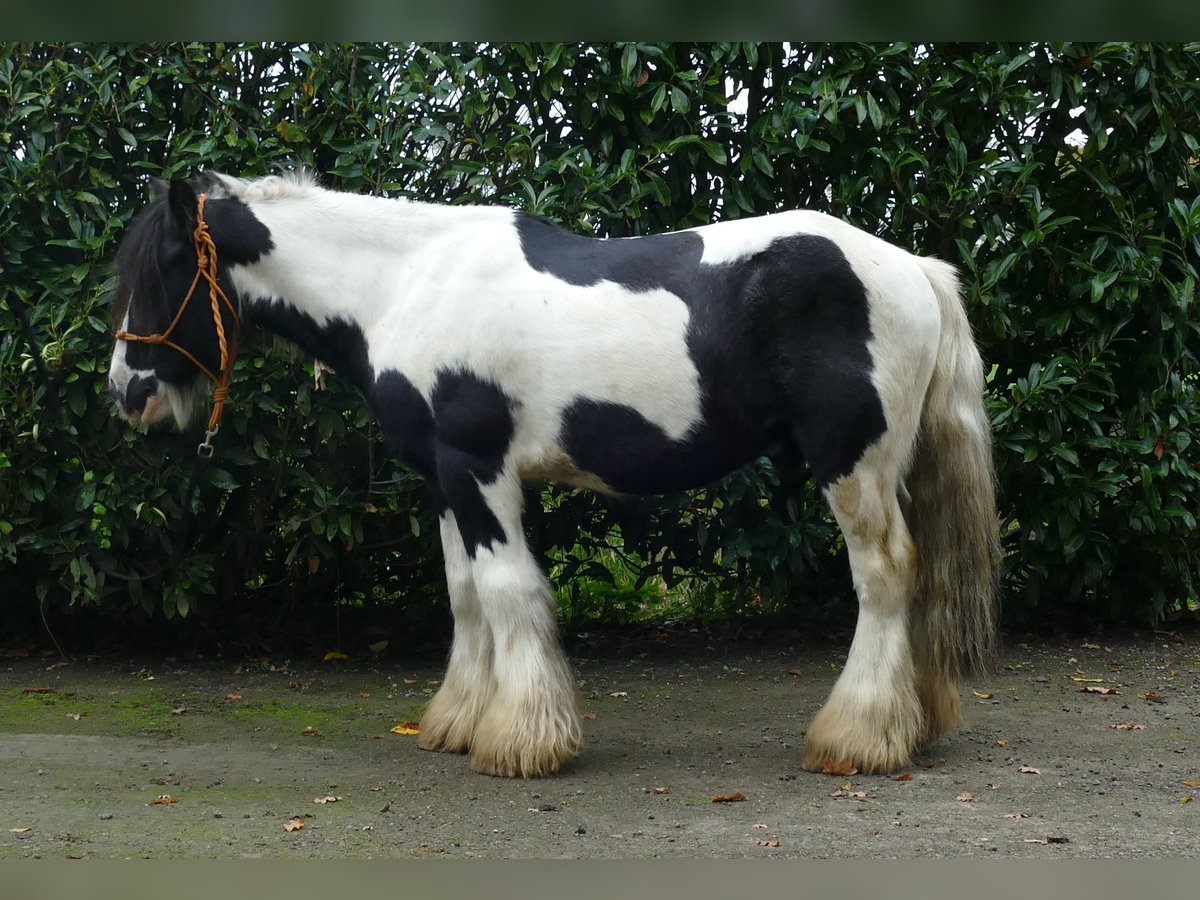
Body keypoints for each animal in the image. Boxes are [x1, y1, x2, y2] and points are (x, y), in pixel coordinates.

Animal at [107, 172, 999, 778]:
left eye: (165, 269)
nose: (126, 392)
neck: (405, 284)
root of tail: (911, 268)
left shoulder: (480, 468)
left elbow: (509, 591)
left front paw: (521, 740)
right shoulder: (443, 480)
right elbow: (465, 595)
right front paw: (458, 721)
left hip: (853, 465)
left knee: (885, 575)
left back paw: (857, 736)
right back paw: (912, 724)